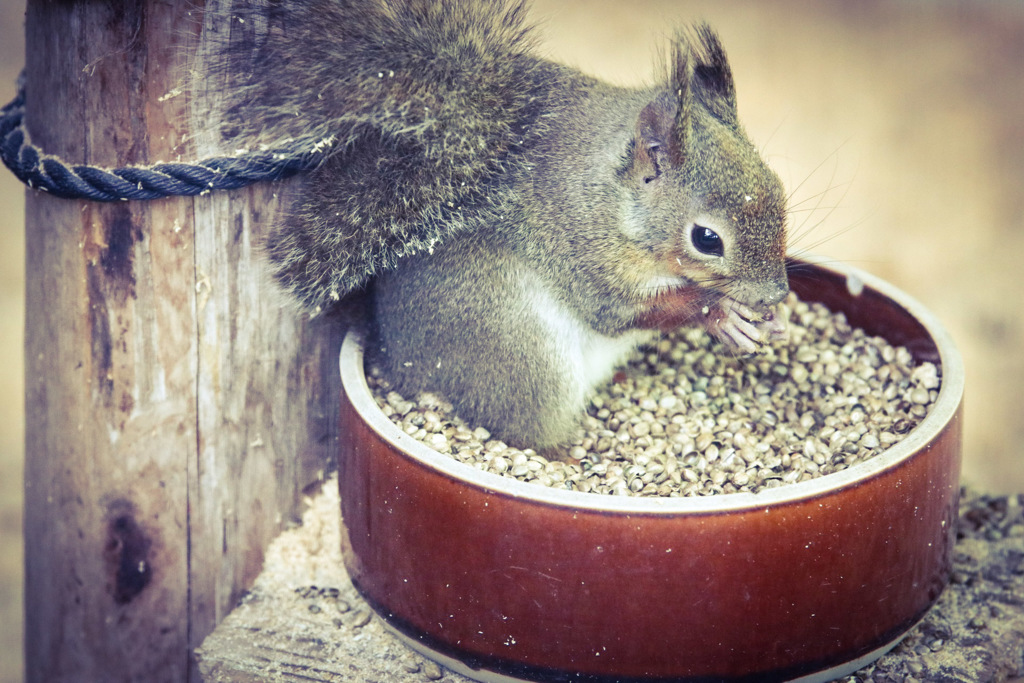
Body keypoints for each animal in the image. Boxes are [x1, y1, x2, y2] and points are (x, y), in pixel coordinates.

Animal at [222, 0, 782, 450]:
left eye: (777, 186)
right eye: (706, 239)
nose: (776, 295)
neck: (612, 201)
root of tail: (399, 365)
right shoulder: (583, 253)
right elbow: (619, 311)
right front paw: (720, 313)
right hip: (521, 353)